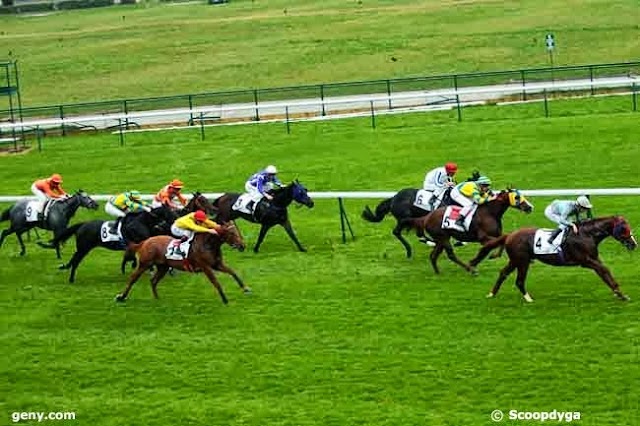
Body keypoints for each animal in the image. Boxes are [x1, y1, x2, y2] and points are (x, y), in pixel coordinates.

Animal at [114, 221, 248, 304]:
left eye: (237, 231)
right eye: (231, 233)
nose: (242, 246)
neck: (208, 244)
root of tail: (145, 242)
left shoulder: (217, 264)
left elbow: (233, 272)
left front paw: (245, 288)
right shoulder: (205, 267)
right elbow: (216, 282)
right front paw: (225, 299)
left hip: (163, 267)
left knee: (153, 281)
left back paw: (157, 298)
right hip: (144, 264)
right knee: (133, 278)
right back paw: (121, 297)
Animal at [402, 188, 532, 274]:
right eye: (517, 197)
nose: (529, 207)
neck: (490, 213)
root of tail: (427, 217)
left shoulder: (497, 235)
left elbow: (501, 244)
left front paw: (492, 256)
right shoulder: (483, 238)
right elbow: (491, 246)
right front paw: (477, 260)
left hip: (440, 240)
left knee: (433, 255)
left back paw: (438, 272)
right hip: (443, 238)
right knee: (451, 255)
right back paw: (470, 269)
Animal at [472, 215, 636, 302]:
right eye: (624, 228)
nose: (634, 244)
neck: (586, 234)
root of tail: (509, 235)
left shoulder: (594, 259)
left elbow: (604, 273)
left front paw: (619, 294)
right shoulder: (585, 261)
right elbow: (605, 270)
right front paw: (619, 292)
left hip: (515, 260)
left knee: (503, 273)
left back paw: (492, 293)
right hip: (522, 261)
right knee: (519, 280)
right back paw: (528, 298)